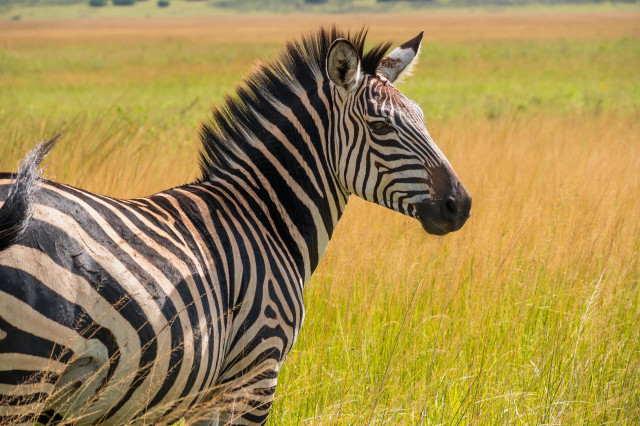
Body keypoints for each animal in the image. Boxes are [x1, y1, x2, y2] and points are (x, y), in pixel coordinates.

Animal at [0, 27, 471, 424]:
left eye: (422, 119)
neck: (266, 217)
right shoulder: (255, 372)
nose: (461, 205)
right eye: (380, 126)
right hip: (26, 374)